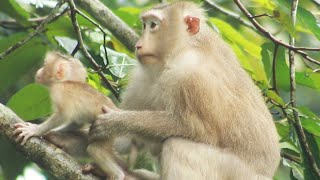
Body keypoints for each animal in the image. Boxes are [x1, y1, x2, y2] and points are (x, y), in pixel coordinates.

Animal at [12, 52, 127, 180]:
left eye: (45, 65)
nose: (39, 70)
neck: (64, 82)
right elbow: (77, 121)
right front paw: (52, 134)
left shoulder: (59, 92)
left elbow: (63, 115)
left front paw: (35, 130)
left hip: (110, 131)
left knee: (95, 149)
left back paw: (117, 175)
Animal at [89, 1, 278, 180]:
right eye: (144, 25)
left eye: (153, 25)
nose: (138, 45)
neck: (183, 49)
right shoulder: (141, 78)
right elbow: (126, 141)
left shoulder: (193, 77)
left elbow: (198, 130)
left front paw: (115, 122)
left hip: (234, 172)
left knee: (178, 146)